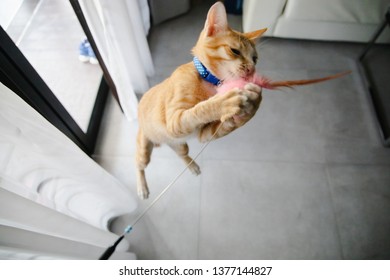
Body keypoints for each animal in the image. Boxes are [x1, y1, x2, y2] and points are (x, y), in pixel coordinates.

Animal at [135, 2, 266, 199]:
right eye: (235, 51)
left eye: (255, 59)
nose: (252, 70)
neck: (209, 82)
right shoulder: (175, 120)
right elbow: (200, 109)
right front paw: (224, 102)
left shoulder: (205, 134)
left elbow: (228, 123)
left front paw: (252, 103)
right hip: (144, 150)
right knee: (138, 165)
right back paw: (142, 187)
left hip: (180, 144)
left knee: (181, 154)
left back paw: (192, 166)